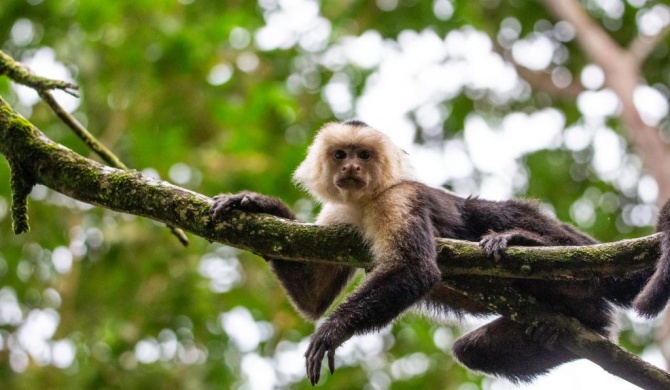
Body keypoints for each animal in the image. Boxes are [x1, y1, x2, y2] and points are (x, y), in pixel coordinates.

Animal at [211, 122, 670, 386]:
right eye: (341, 155)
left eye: (364, 155)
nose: (352, 169)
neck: (364, 203)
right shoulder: (336, 214)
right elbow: (313, 298)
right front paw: (258, 204)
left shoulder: (399, 198)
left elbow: (416, 269)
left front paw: (332, 331)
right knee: (475, 351)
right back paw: (559, 333)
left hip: (578, 255)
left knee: (491, 213)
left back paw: (527, 242)